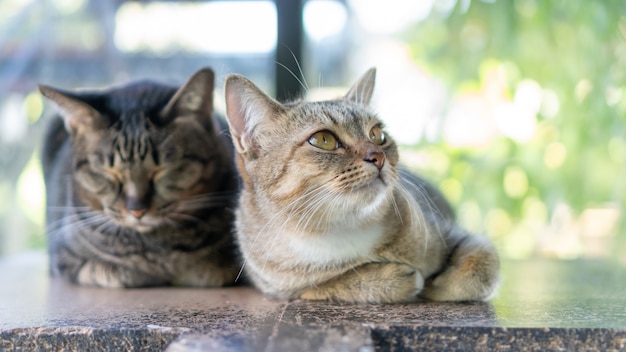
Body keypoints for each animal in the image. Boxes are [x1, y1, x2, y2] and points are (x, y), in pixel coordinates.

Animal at [39, 67, 239, 288]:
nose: (137, 210)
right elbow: (109, 271)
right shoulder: (65, 258)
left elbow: (213, 269)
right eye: (109, 172)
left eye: (161, 169)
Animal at [223, 68, 498, 302]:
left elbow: (484, 265)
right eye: (323, 139)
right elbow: (331, 284)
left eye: (378, 135)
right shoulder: (282, 288)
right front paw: (391, 279)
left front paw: (441, 285)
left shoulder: (451, 232)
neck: (343, 228)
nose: (378, 156)